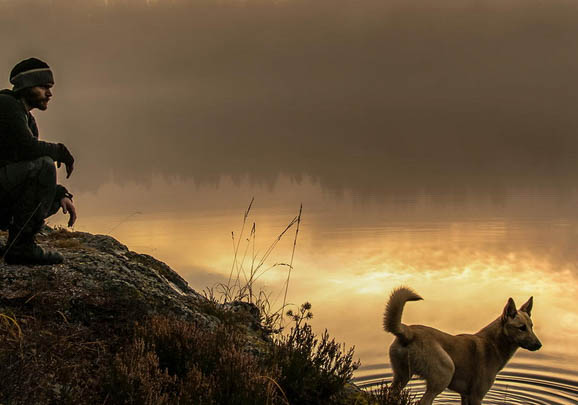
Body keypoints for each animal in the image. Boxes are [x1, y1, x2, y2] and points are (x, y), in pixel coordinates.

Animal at [382, 286, 540, 402]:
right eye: (522, 328)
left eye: (531, 326)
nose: (539, 345)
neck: (493, 344)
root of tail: (408, 332)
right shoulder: (476, 396)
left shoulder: (465, 395)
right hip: (444, 374)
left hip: (401, 377)